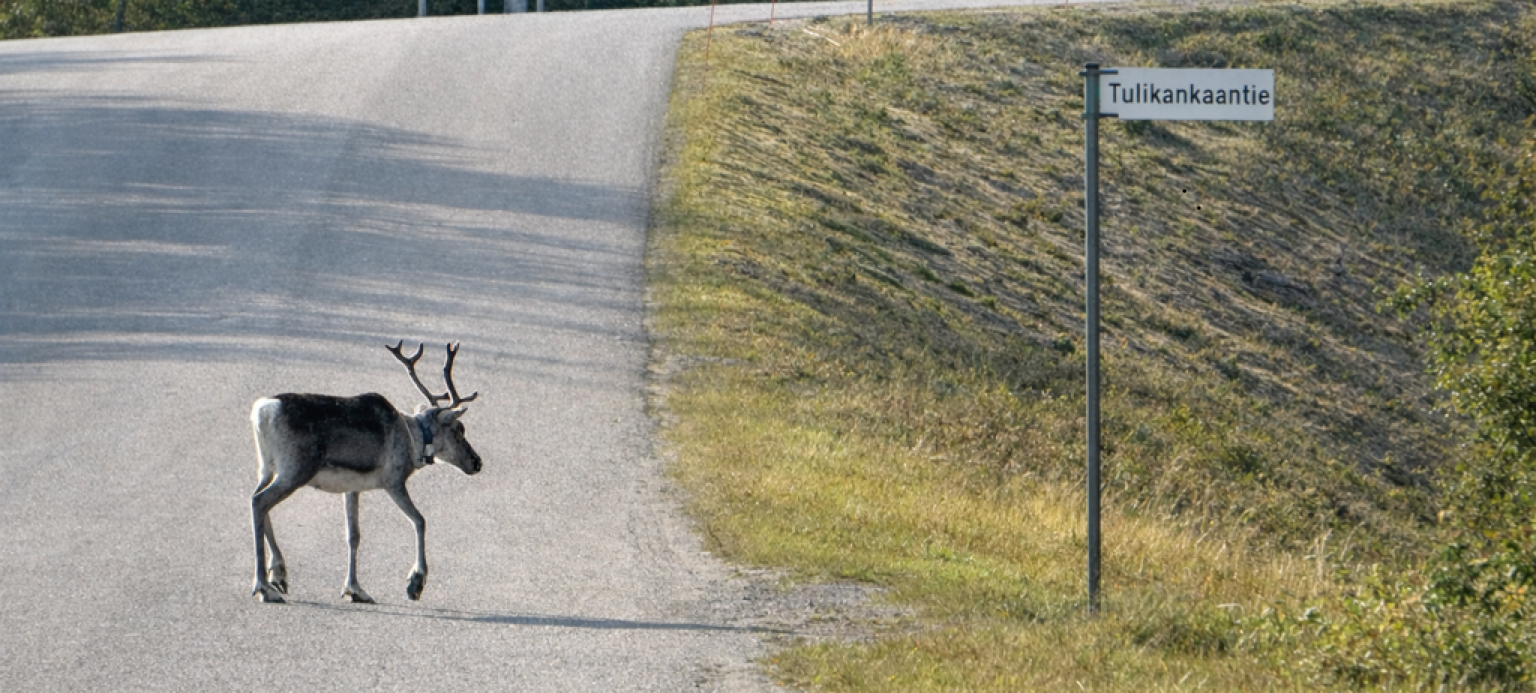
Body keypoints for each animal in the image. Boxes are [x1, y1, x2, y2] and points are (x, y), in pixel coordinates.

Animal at [248, 342, 482, 604]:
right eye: (459, 429)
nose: (477, 462)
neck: (413, 439)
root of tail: (264, 411)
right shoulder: (394, 481)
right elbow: (420, 520)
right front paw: (415, 582)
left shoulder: (351, 487)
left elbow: (353, 535)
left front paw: (355, 589)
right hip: (295, 470)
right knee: (259, 502)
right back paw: (263, 586)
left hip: (267, 468)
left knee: (258, 501)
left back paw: (277, 574)